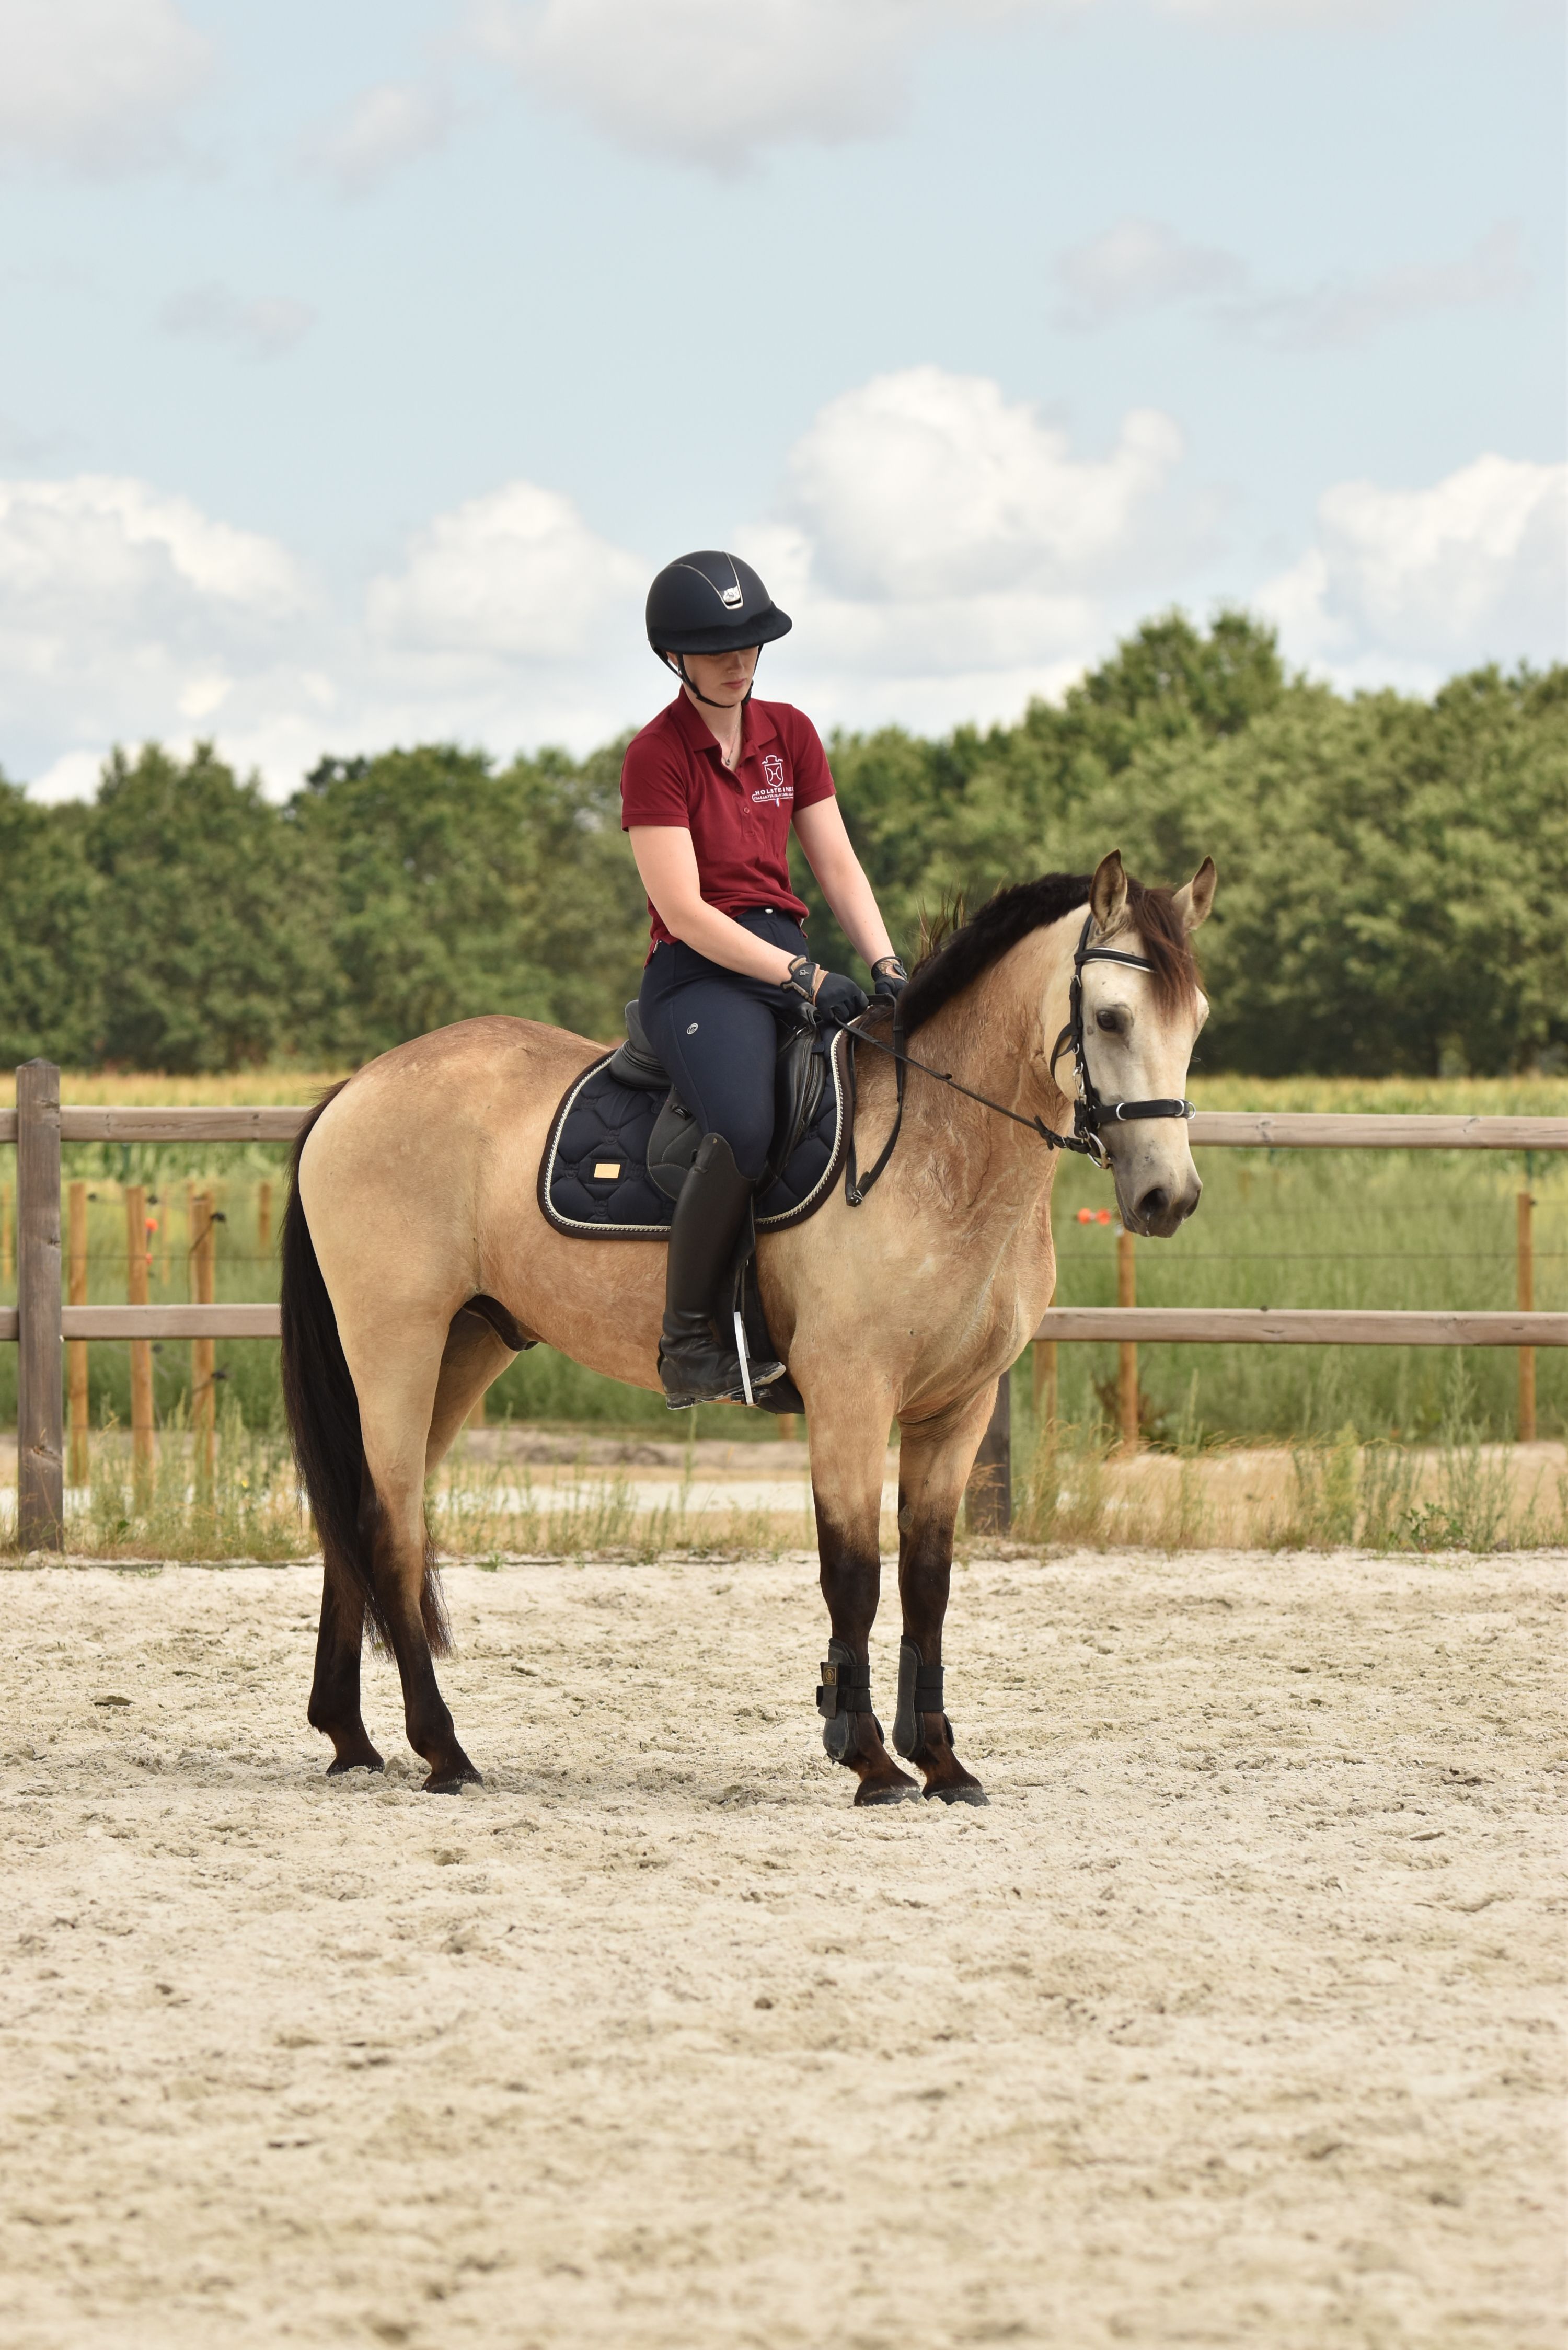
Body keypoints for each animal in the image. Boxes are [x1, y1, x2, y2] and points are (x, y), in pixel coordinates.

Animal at [280, 848, 1215, 1803]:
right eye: (1110, 1016)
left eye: (1197, 1022)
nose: (1167, 1198)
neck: (937, 1148)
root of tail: (355, 1088)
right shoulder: (850, 1396)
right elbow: (854, 1575)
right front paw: (868, 1757)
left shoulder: (959, 1409)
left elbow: (928, 1582)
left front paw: (943, 1762)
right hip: (396, 1345)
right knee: (393, 1529)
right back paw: (443, 1751)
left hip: (465, 1348)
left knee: (358, 1515)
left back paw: (351, 1737)